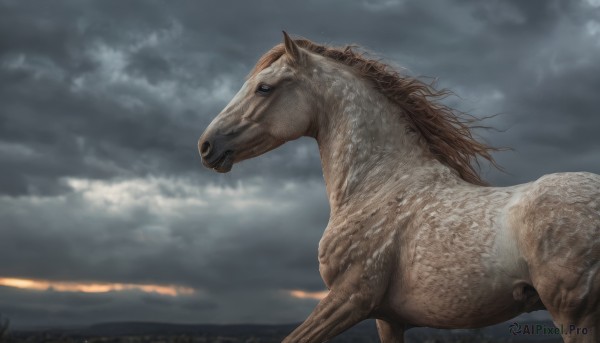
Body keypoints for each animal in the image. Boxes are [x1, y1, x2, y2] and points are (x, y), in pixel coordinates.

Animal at [198, 31, 600, 342]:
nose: (206, 146)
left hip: (573, 313)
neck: (378, 184)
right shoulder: (387, 318)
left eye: (264, 88)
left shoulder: (350, 298)